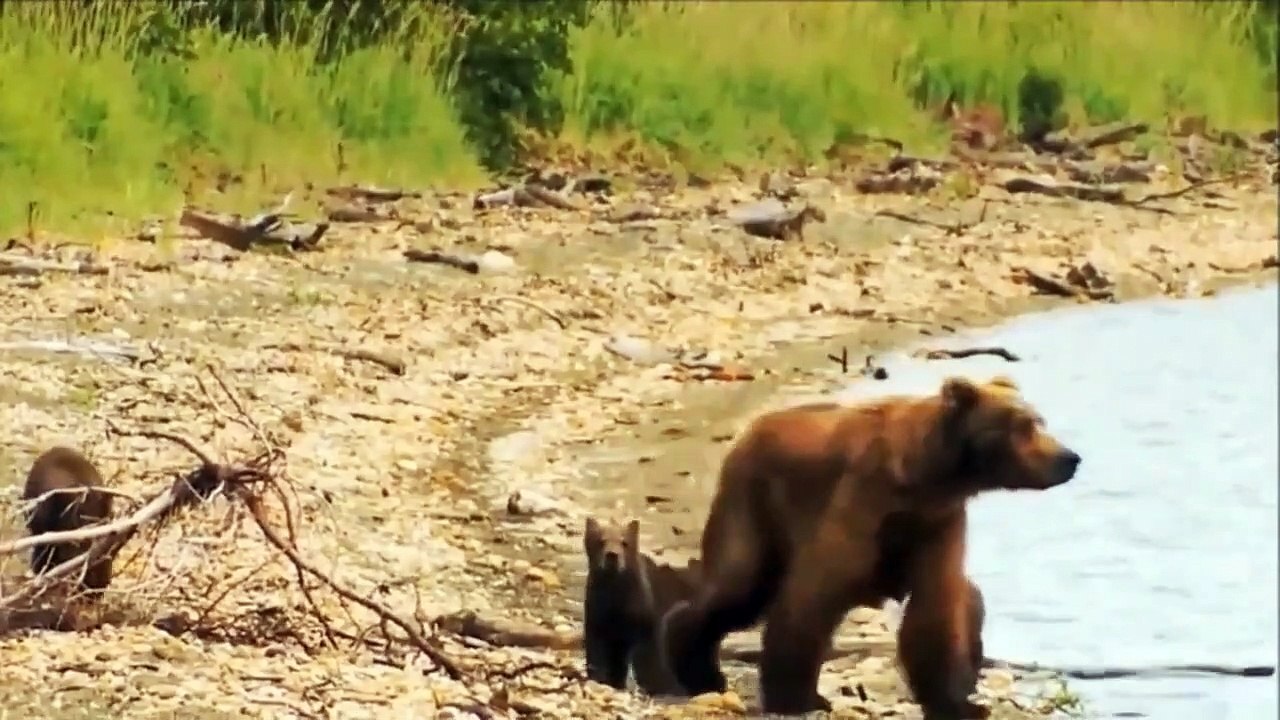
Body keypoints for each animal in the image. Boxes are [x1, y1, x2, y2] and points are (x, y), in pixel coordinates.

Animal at [582, 516, 702, 696]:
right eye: (600, 541)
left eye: (624, 542)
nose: (612, 555)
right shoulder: (597, 614)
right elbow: (597, 649)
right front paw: (601, 678)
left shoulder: (641, 617)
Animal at [659, 375, 1080, 717]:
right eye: (1023, 426)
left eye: (1039, 421)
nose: (1069, 458)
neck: (927, 480)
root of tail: (752, 428)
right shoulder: (863, 502)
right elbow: (812, 597)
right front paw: (797, 698)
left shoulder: (936, 525)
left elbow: (935, 611)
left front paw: (957, 703)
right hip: (753, 502)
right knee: (738, 588)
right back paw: (692, 665)